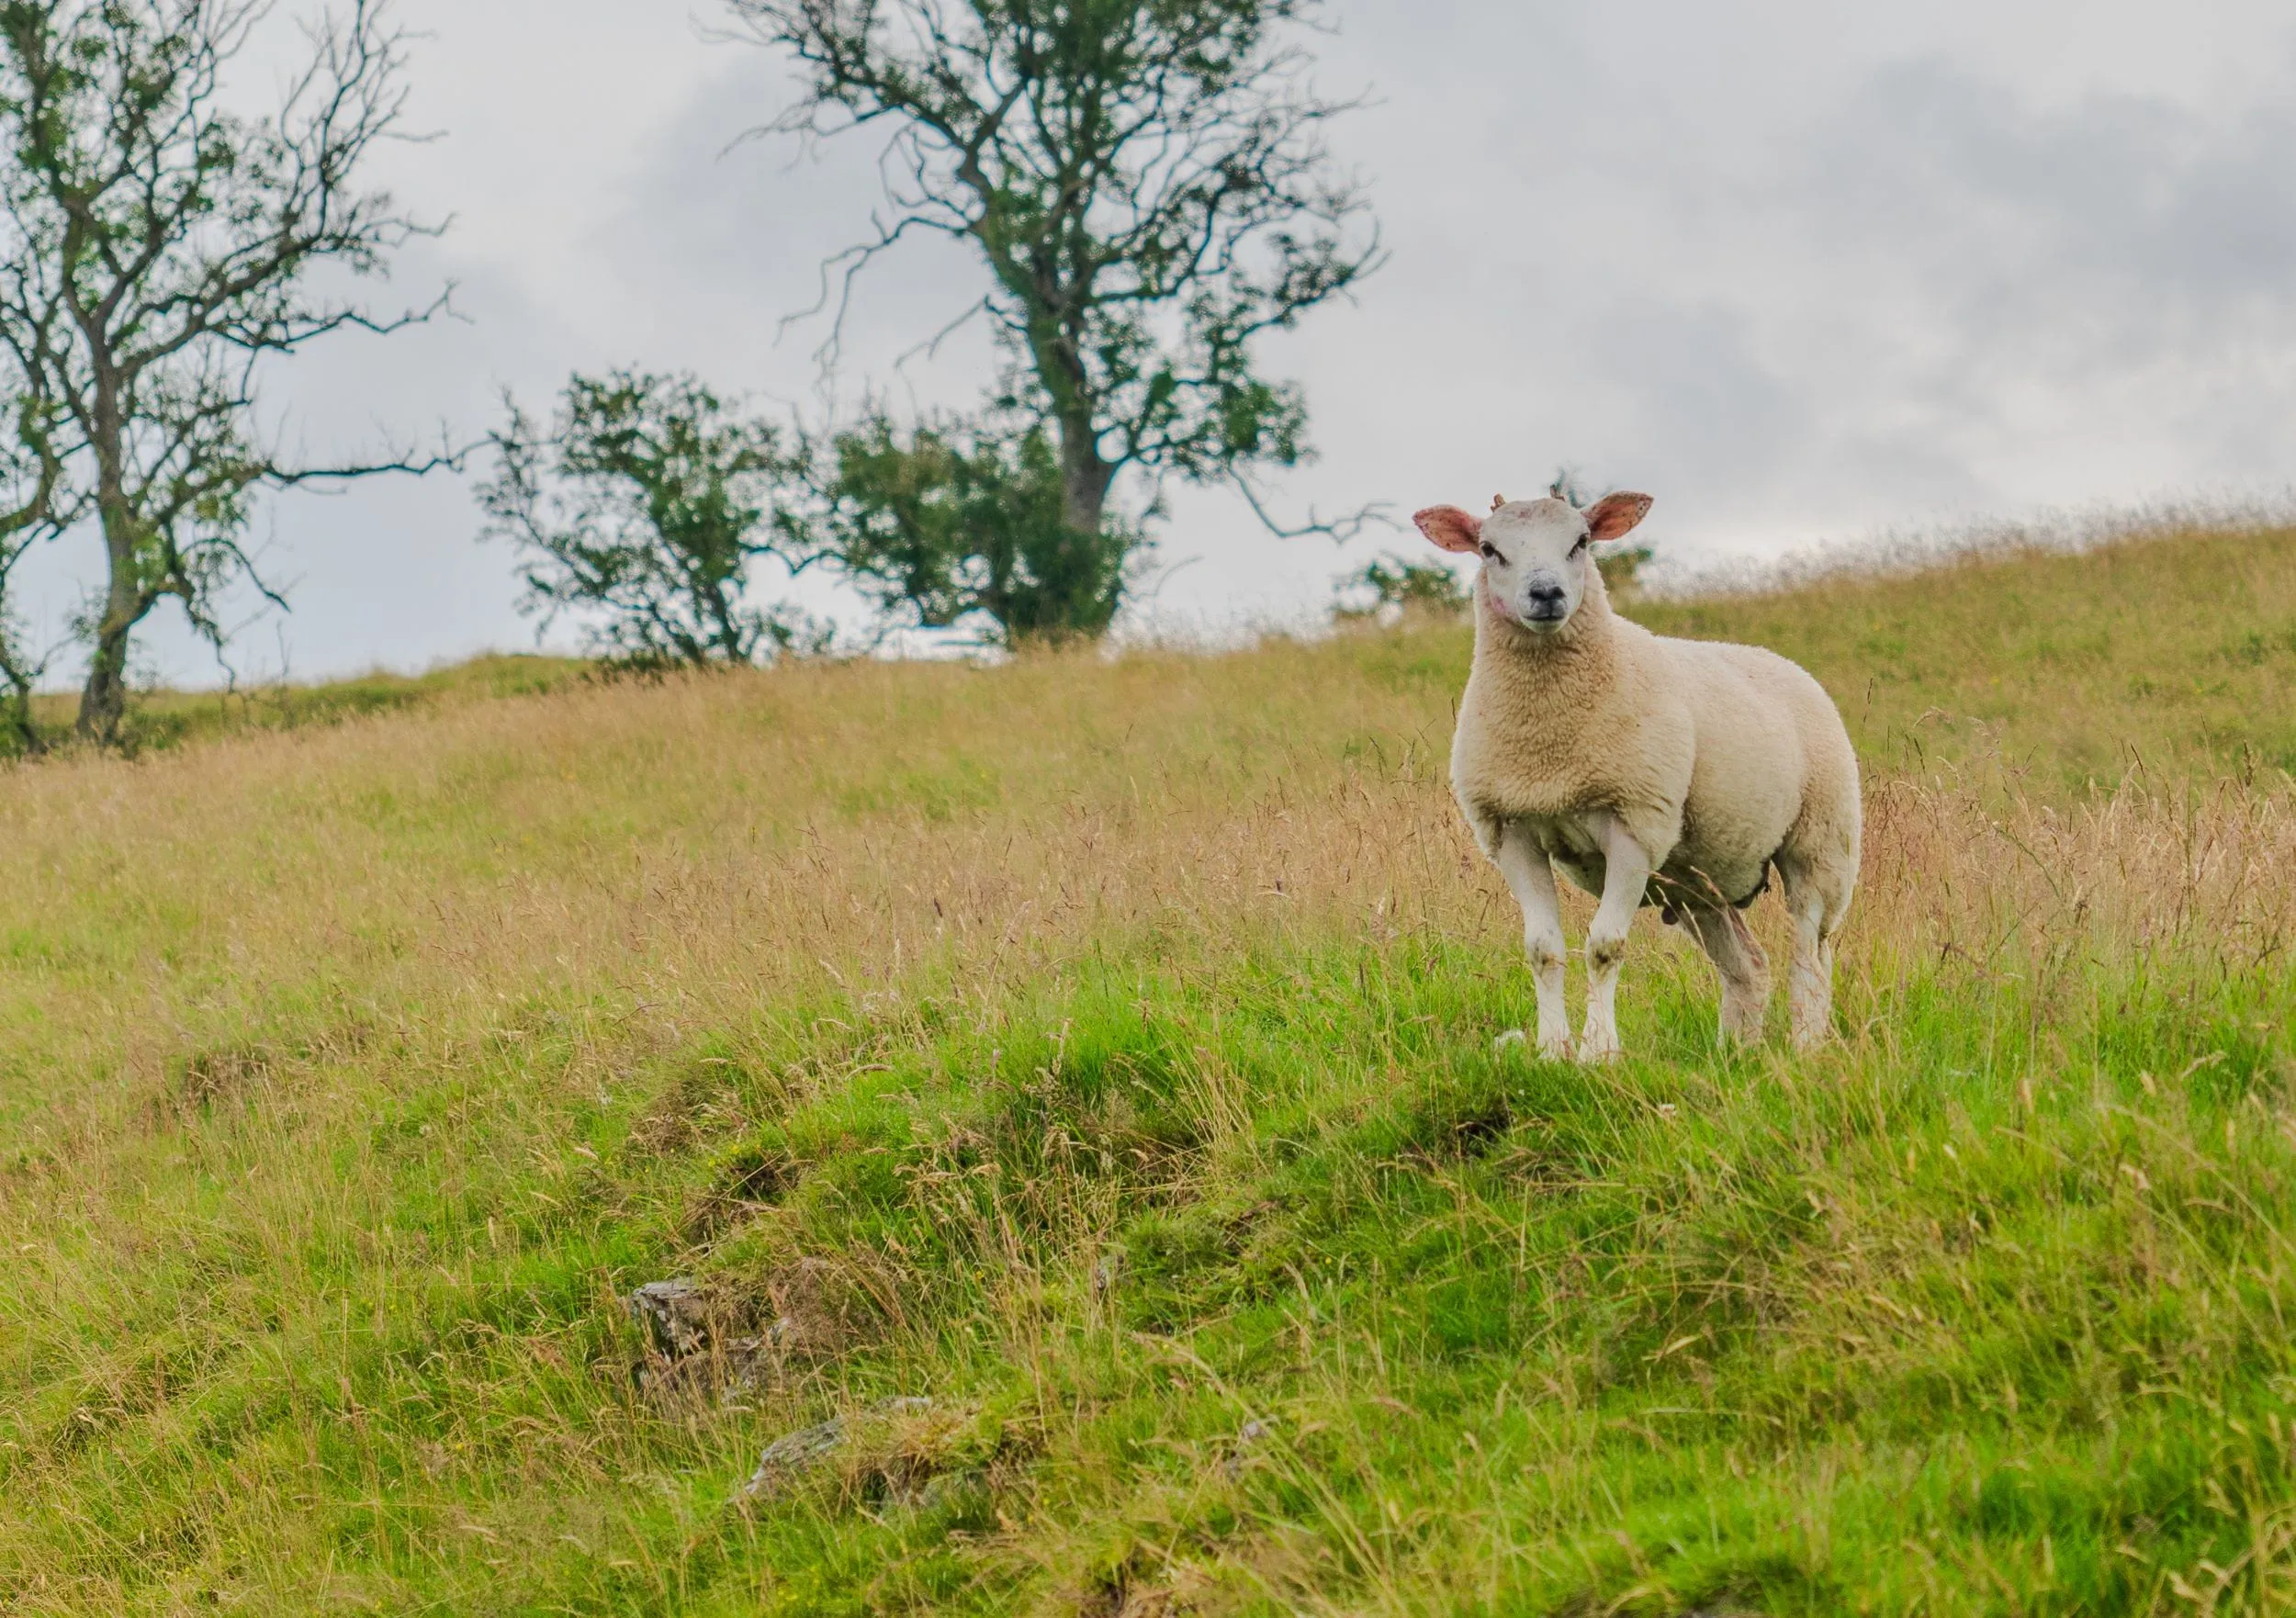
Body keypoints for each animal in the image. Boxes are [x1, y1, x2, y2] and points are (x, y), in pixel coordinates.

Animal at [1414, 491, 1860, 1060]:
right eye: (1489, 549)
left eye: (1581, 542)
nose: (1546, 593)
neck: (1549, 746)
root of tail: (1785, 665)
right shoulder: (1511, 830)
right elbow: (1542, 950)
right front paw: (1551, 1052)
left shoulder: (1634, 826)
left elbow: (1604, 947)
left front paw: (1598, 1052)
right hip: (1694, 879)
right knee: (1748, 965)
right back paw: (1736, 1055)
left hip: (1821, 843)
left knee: (1811, 952)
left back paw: (1807, 1045)